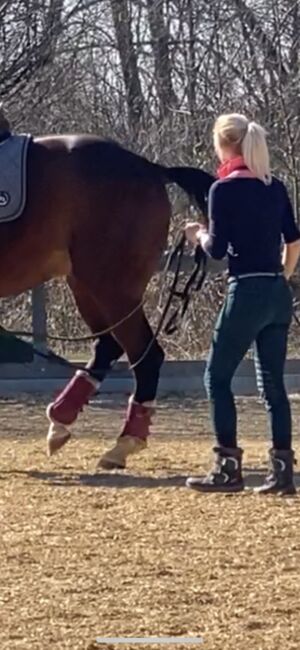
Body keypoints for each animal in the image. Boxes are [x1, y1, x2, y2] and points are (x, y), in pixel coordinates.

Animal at [0, 123, 216, 466]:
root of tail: (149, 167)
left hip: (111, 286)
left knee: (144, 355)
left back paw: (124, 442)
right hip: (87, 284)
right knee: (109, 346)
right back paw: (61, 421)